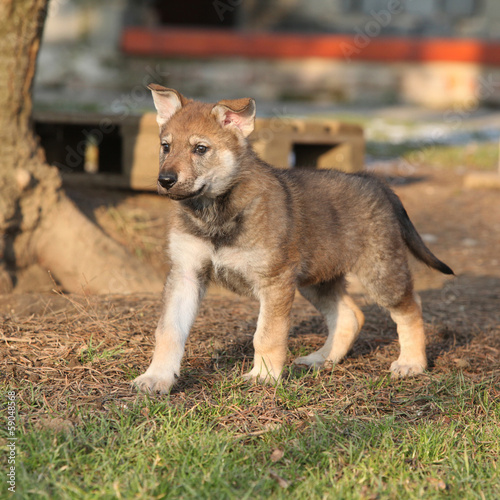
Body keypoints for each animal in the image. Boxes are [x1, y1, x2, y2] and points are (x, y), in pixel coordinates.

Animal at [133, 84, 454, 392]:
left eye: (200, 149)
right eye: (165, 146)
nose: (165, 180)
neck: (215, 213)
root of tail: (375, 181)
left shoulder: (275, 281)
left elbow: (267, 334)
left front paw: (263, 376)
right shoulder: (186, 274)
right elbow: (169, 332)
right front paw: (157, 377)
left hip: (380, 274)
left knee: (411, 308)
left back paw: (412, 362)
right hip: (317, 279)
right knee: (350, 316)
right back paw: (321, 359)